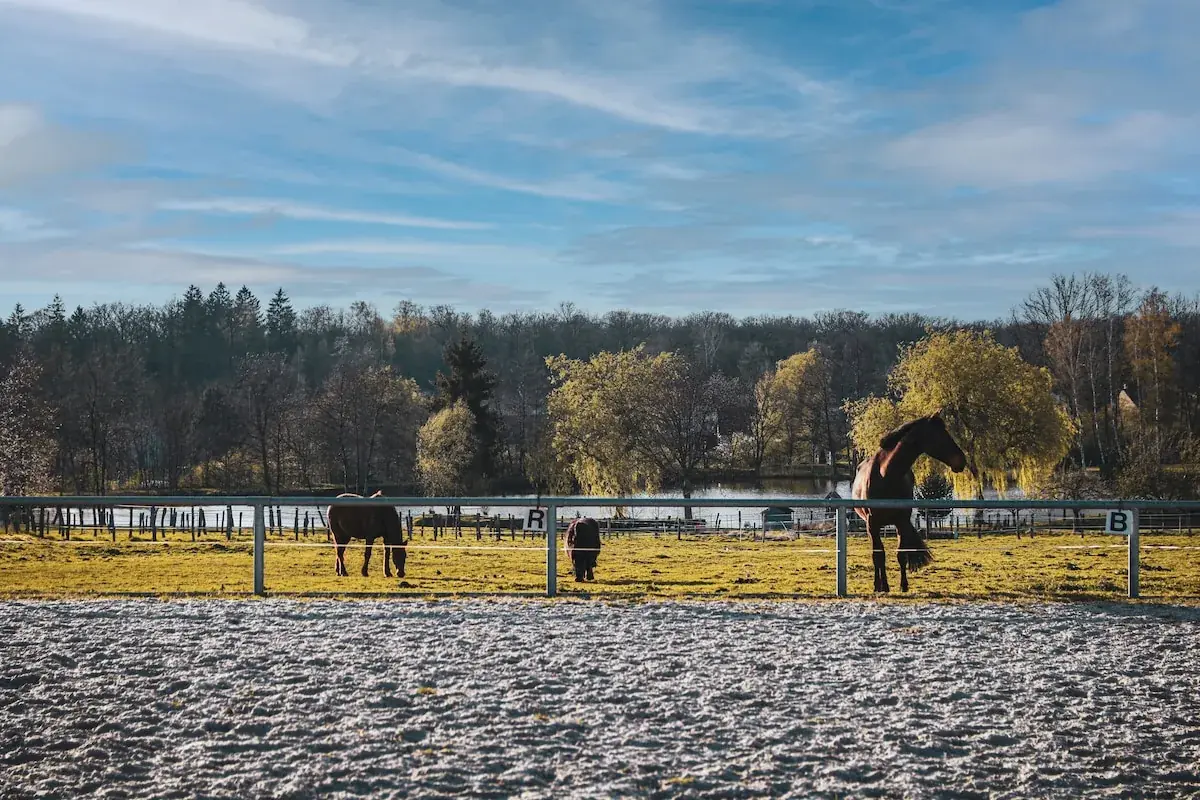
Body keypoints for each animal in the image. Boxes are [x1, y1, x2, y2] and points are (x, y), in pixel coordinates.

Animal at [851, 412, 967, 593]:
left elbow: (901, 554)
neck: (886, 475)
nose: (961, 460)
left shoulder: (902, 522)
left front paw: (903, 585)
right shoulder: (872, 524)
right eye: (940, 435)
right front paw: (879, 586)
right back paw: (881, 584)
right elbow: (878, 555)